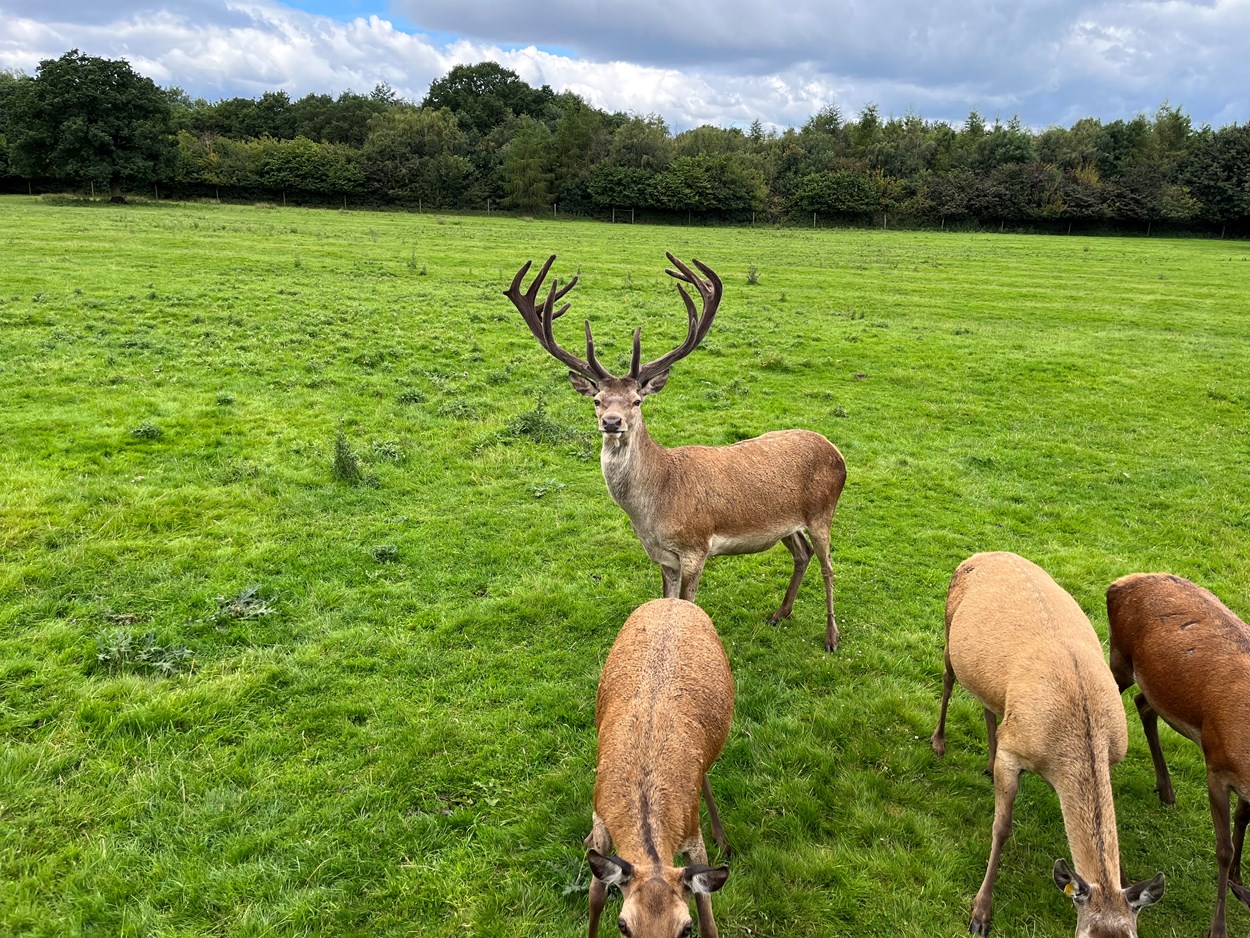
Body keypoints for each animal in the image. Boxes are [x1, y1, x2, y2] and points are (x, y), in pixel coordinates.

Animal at [507, 255, 850, 655]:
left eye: (636, 401)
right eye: (597, 400)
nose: (612, 422)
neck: (654, 510)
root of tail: (837, 452)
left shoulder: (696, 548)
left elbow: (687, 603)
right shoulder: (662, 556)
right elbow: (666, 599)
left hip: (823, 510)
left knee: (829, 564)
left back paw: (831, 636)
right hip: (786, 523)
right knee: (802, 553)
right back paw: (780, 613)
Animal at [585, 602, 730, 938]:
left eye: (685, 928)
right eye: (623, 924)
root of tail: (675, 602)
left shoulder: (692, 834)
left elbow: (709, 920)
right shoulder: (600, 816)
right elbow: (596, 896)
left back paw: (722, 837)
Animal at [935, 555, 1165, 935]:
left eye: (1132, 934)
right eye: (1087, 933)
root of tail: (980, 555)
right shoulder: (1014, 751)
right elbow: (1001, 828)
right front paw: (980, 914)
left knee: (988, 706)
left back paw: (986, 761)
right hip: (949, 630)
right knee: (948, 678)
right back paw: (938, 742)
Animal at [1110, 572, 1245, 938]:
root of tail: (1118, 583)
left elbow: (1242, 819)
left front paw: (1240, 883)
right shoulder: (1217, 766)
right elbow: (1223, 849)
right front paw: (1218, 927)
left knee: (1143, 703)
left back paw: (1166, 789)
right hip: (1119, 657)